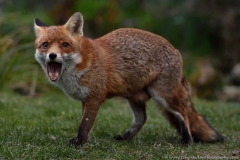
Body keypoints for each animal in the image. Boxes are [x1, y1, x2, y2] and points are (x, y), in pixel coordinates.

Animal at [33, 11, 225, 146]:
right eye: (45, 45)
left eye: (65, 45)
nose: (52, 56)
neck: (81, 64)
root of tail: (176, 49)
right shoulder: (84, 99)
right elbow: (84, 123)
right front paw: (84, 141)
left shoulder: (95, 97)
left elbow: (85, 124)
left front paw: (79, 143)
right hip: (134, 98)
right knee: (142, 119)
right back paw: (125, 138)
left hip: (162, 96)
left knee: (183, 112)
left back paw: (187, 141)